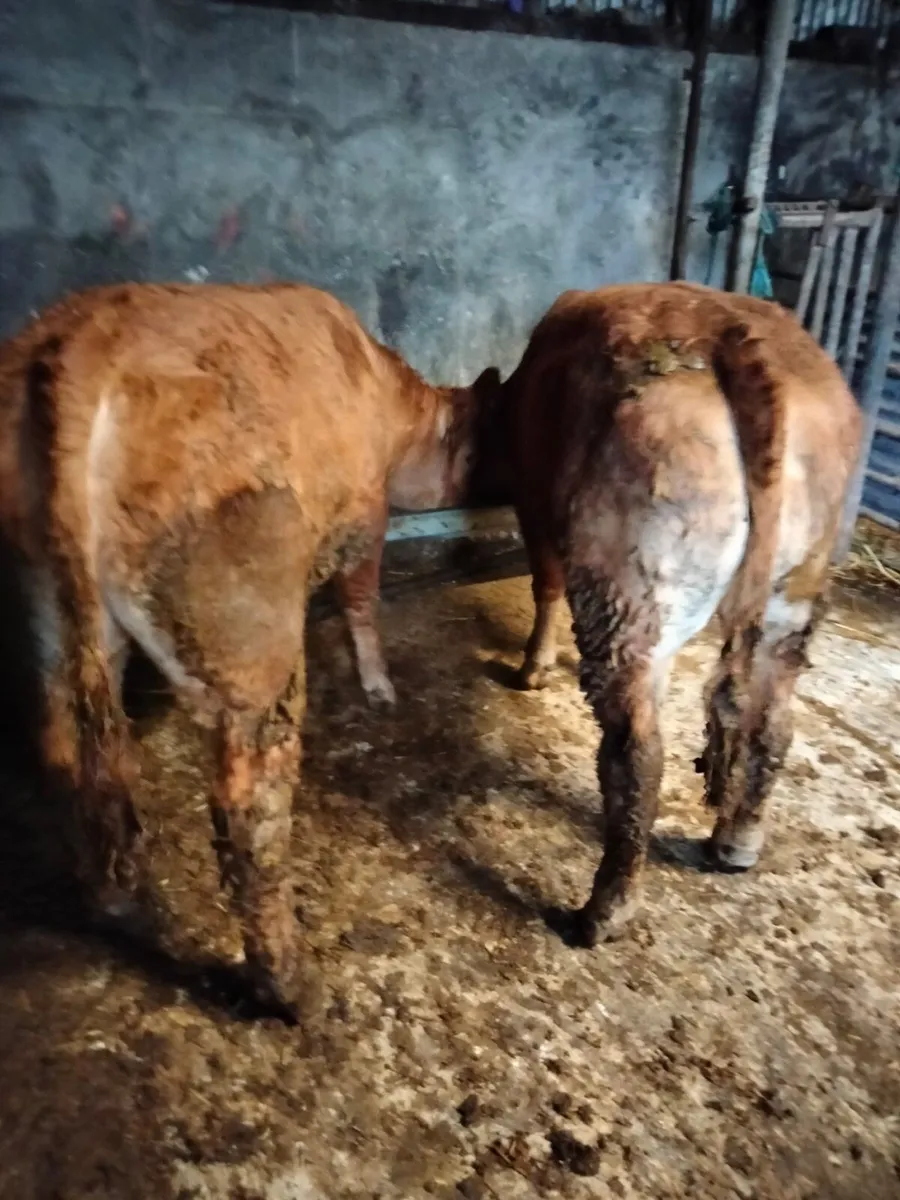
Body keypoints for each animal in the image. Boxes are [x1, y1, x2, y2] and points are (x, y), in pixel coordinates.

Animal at [0, 281, 487, 1017]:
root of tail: (82, 350)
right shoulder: (365, 514)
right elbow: (362, 601)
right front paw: (378, 685)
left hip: (41, 593)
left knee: (65, 739)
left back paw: (108, 891)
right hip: (246, 636)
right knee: (248, 811)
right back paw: (289, 985)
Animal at [475, 282, 861, 948]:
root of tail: (734, 336)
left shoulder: (535, 503)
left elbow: (545, 583)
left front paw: (532, 669)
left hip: (633, 588)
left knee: (637, 751)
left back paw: (603, 910)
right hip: (797, 585)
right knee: (773, 720)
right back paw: (737, 842)